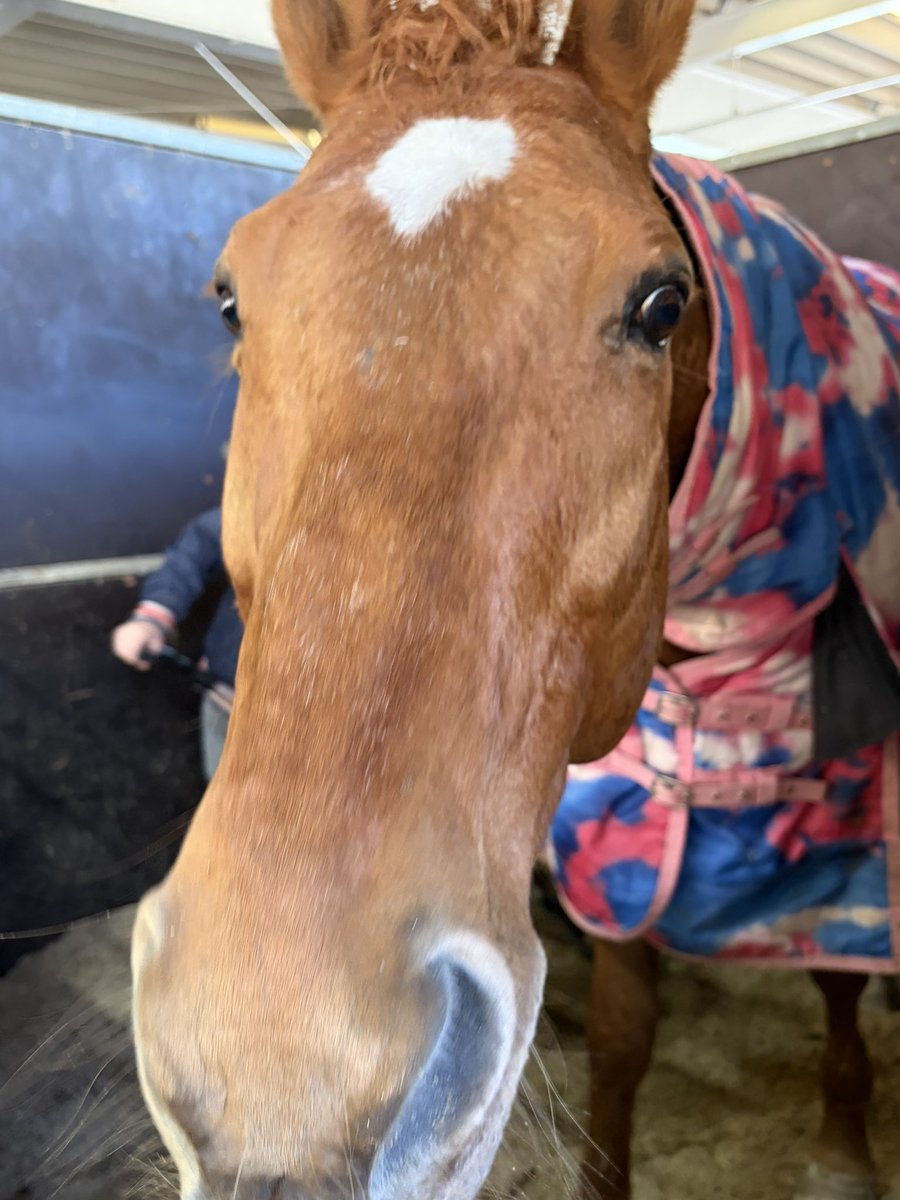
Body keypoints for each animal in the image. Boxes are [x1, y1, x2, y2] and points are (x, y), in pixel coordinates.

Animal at [131, 1, 900, 1198]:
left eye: (662, 304)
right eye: (227, 300)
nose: (284, 1070)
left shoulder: (838, 820)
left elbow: (832, 965)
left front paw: (842, 1148)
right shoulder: (620, 819)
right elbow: (624, 1037)